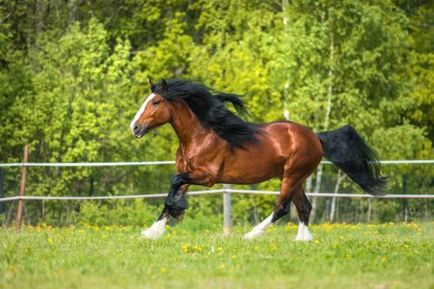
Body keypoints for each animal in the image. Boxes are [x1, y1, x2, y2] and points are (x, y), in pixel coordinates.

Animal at [129, 77, 384, 240]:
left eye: (156, 101)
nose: (135, 127)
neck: (199, 135)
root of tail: (316, 137)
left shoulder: (206, 177)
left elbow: (173, 186)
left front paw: (172, 216)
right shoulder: (188, 174)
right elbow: (170, 195)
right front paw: (151, 232)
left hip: (292, 176)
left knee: (282, 207)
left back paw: (251, 234)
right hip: (294, 177)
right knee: (304, 207)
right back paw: (302, 240)